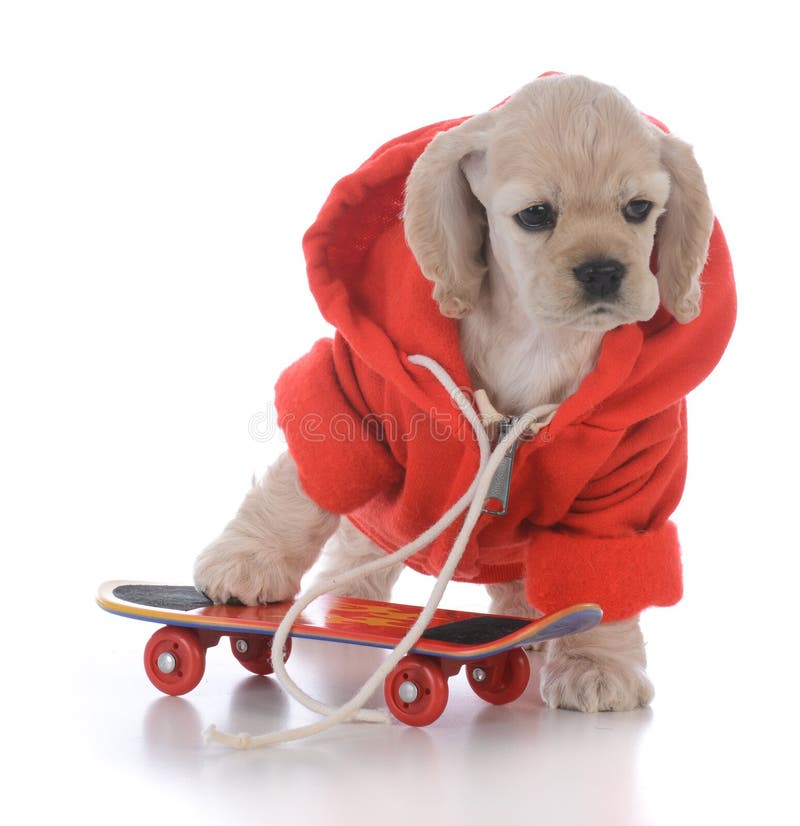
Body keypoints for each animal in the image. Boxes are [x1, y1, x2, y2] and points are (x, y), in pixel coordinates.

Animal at [197, 74, 736, 712]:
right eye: (536, 215)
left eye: (639, 209)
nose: (604, 271)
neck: (537, 336)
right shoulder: (353, 397)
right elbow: (300, 491)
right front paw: (248, 561)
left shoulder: (627, 482)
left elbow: (602, 581)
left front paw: (595, 663)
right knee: (358, 548)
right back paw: (347, 606)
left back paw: (525, 622)